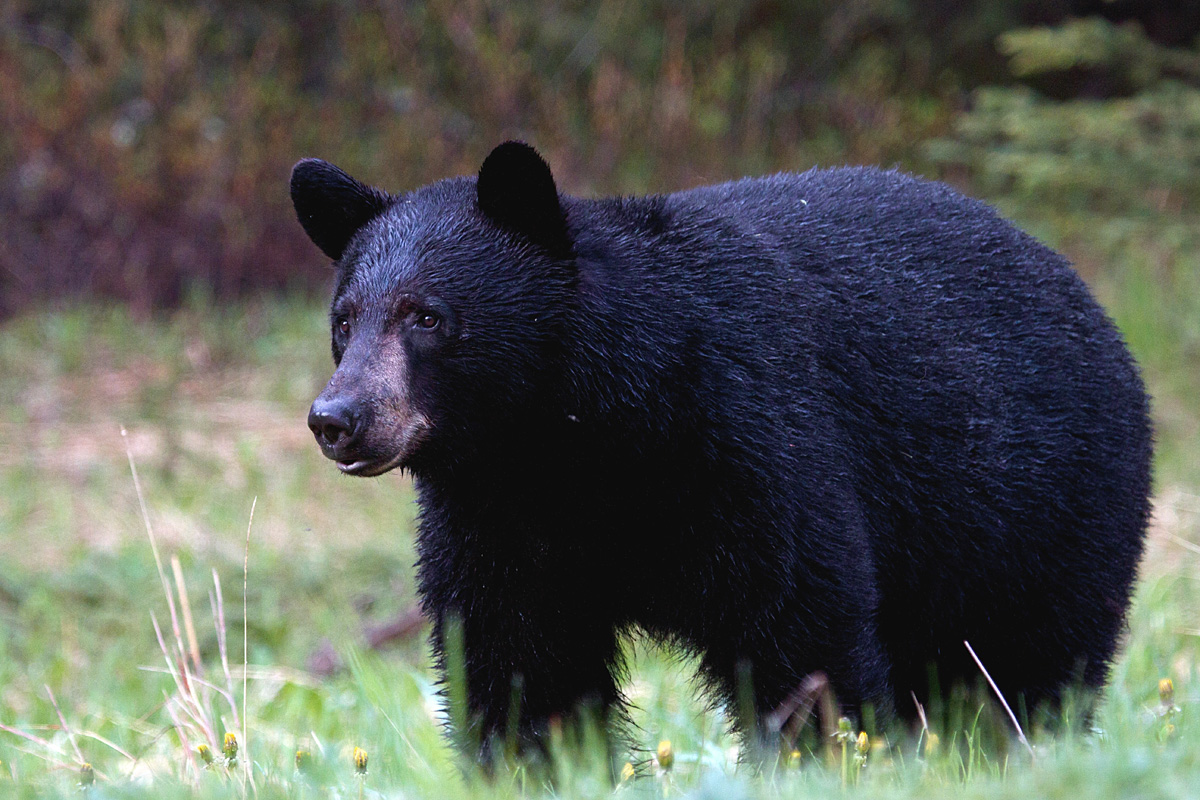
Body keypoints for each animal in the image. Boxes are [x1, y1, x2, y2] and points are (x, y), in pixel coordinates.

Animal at [292, 141, 1152, 759]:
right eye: (345, 319)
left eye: (427, 316)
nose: (339, 418)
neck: (574, 442)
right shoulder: (499, 520)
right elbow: (519, 661)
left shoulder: (747, 444)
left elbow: (799, 623)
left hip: (1046, 508)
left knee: (1029, 667)